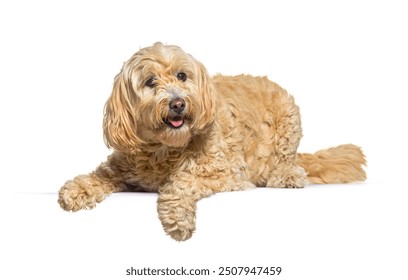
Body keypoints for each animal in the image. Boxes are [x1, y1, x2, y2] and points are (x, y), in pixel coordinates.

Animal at [57, 43, 366, 241]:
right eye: (150, 81)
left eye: (182, 75)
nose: (178, 103)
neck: (164, 149)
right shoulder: (120, 168)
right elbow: (98, 176)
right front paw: (74, 190)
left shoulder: (226, 173)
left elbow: (183, 181)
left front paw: (177, 219)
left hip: (289, 121)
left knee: (286, 161)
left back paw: (286, 175)